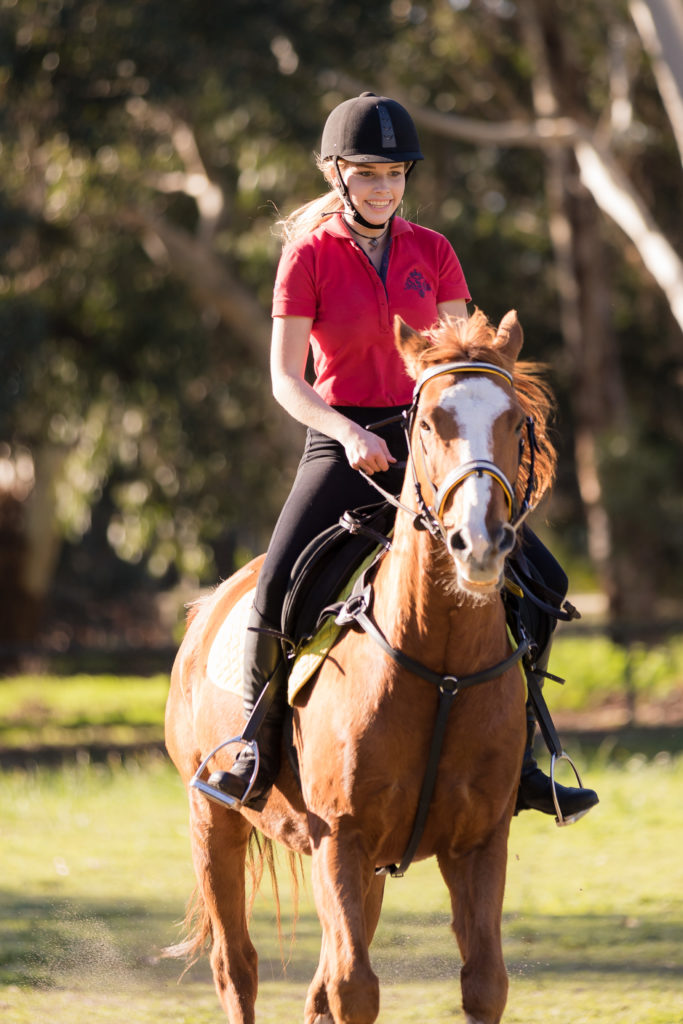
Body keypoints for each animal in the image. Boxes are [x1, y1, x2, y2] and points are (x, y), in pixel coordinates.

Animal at [162, 307, 557, 1019]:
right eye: (428, 423)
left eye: (515, 421)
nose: (481, 542)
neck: (442, 668)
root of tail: (207, 607)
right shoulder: (340, 837)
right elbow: (353, 988)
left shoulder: (478, 843)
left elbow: (484, 981)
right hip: (213, 821)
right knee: (237, 967)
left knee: (317, 981)